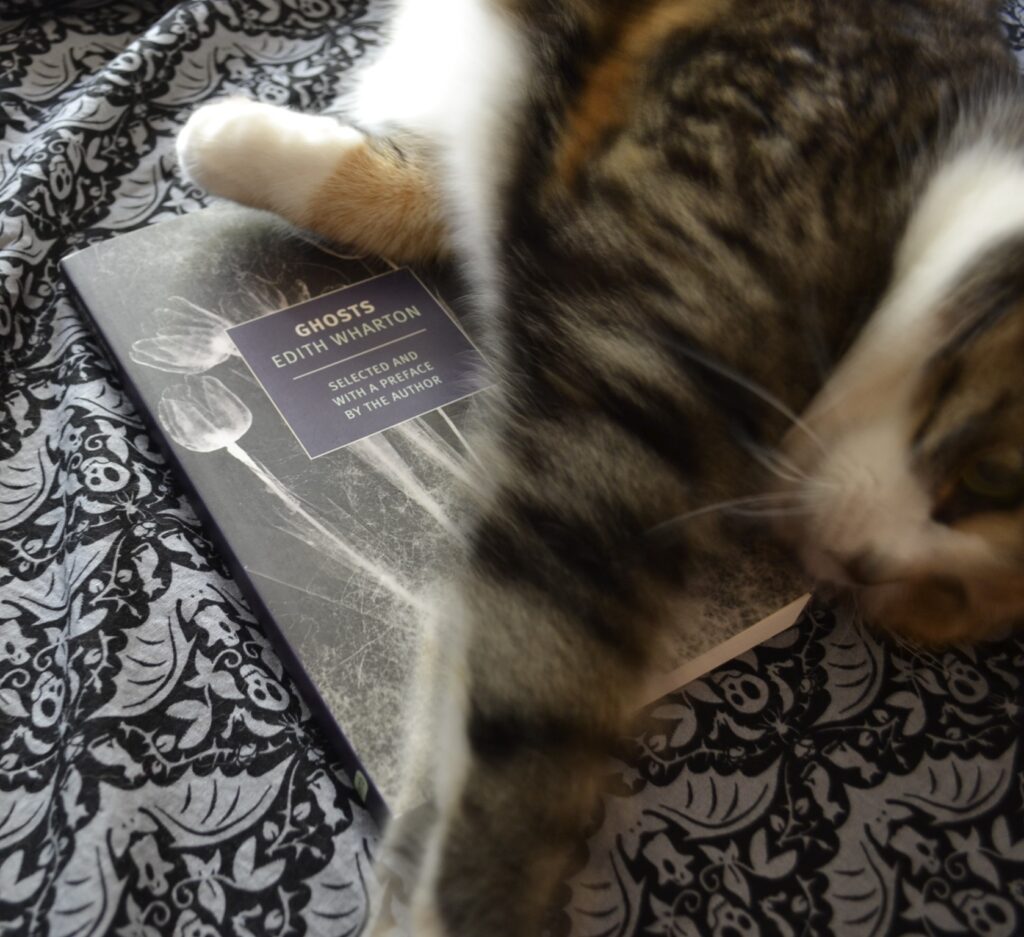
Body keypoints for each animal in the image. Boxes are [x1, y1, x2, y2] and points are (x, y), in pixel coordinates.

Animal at [176, 0, 1024, 933]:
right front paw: (475, 893)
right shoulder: (630, 367)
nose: (866, 564)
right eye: (995, 480)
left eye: (940, 600)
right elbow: (544, 670)